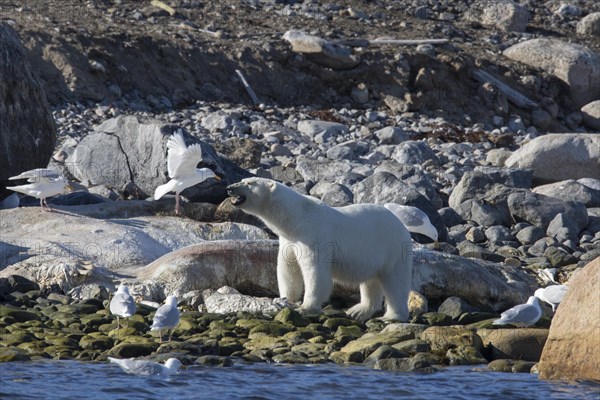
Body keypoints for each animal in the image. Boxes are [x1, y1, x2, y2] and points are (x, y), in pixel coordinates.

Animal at [226, 178, 412, 322]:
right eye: (243, 179)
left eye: (249, 183)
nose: (229, 187)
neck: (297, 218)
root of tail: (401, 225)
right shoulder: (289, 241)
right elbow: (288, 269)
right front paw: (286, 300)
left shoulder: (313, 236)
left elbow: (315, 272)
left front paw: (305, 307)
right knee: (371, 281)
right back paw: (358, 311)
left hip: (393, 249)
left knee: (395, 283)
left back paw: (392, 316)